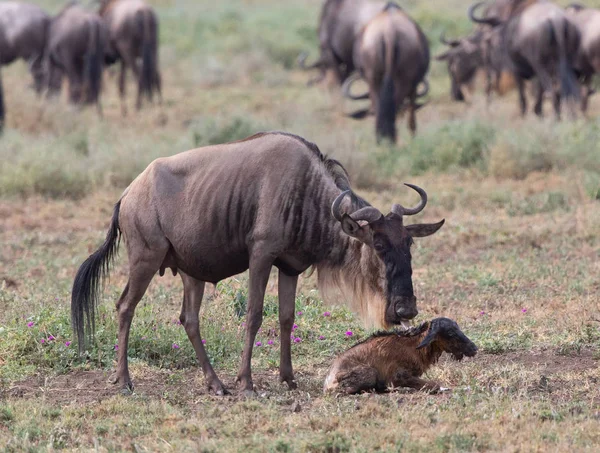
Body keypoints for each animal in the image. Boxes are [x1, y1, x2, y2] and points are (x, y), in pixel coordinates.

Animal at [324, 316, 478, 394]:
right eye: (450, 333)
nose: (474, 348)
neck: (414, 346)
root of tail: (329, 380)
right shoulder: (399, 376)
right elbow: (434, 385)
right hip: (369, 373)